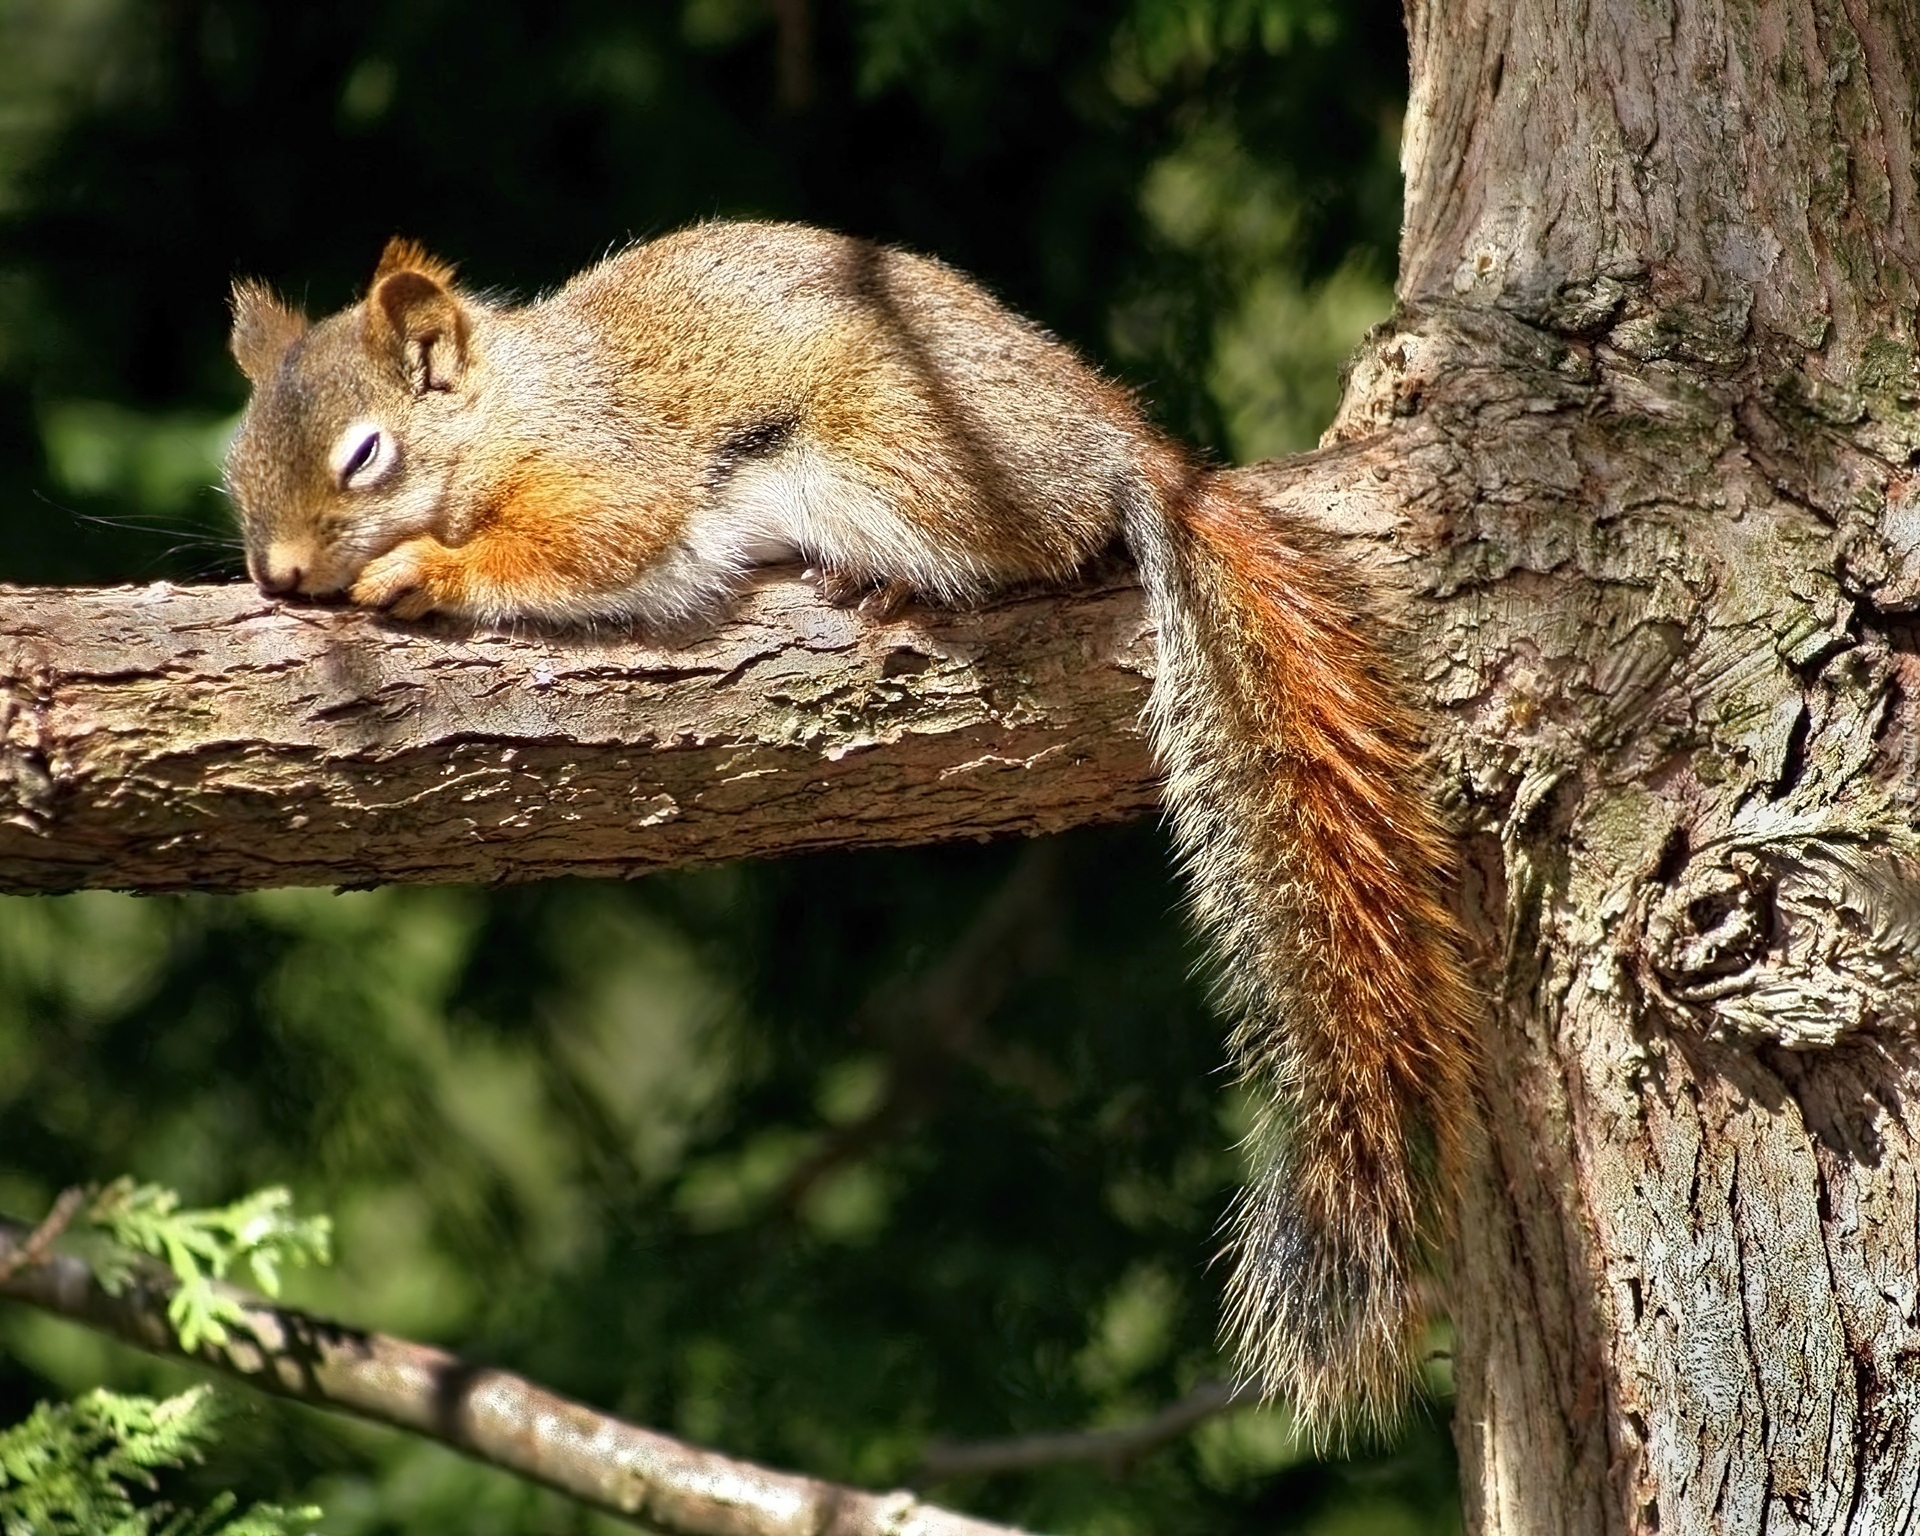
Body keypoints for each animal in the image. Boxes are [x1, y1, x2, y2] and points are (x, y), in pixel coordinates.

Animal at [220, 221, 1466, 1436]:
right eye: (235, 470)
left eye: (366, 455)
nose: (278, 575)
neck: (506, 405)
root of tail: (1125, 445)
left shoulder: (606, 470)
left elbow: (580, 543)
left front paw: (423, 567)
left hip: (905, 455)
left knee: (1050, 539)